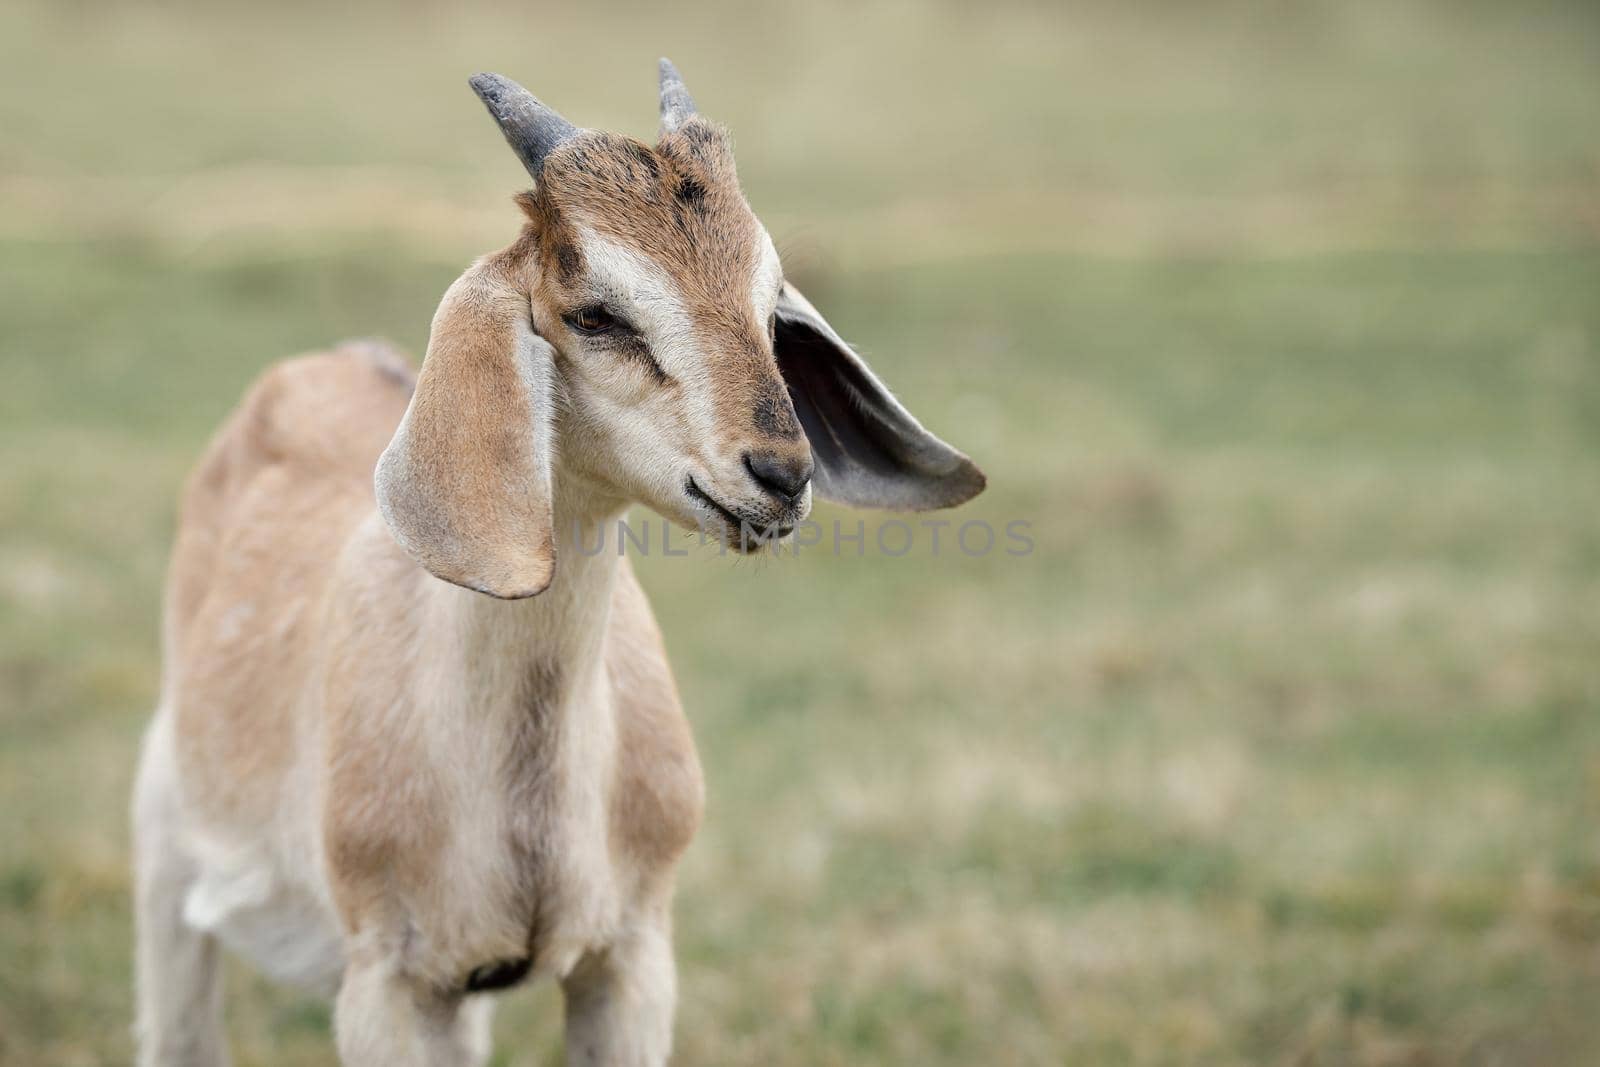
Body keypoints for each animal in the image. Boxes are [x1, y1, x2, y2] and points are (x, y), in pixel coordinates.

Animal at [134, 60, 985, 1067]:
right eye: (598, 312)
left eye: (771, 303)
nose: (780, 474)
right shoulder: (388, 983)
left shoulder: (629, 957)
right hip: (170, 858)